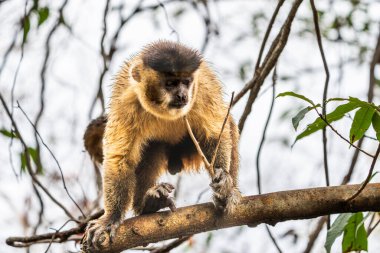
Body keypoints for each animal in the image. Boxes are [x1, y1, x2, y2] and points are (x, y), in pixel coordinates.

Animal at [83, 40, 240, 250]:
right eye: (170, 83)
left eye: (186, 82)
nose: (182, 95)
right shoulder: (127, 100)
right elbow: (120, 159)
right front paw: (111, 218)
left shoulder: (203, 90)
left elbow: (215, 135)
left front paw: (224, 183)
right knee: (151, 147)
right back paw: (148, 203)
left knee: (228, 124)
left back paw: (231, 192)